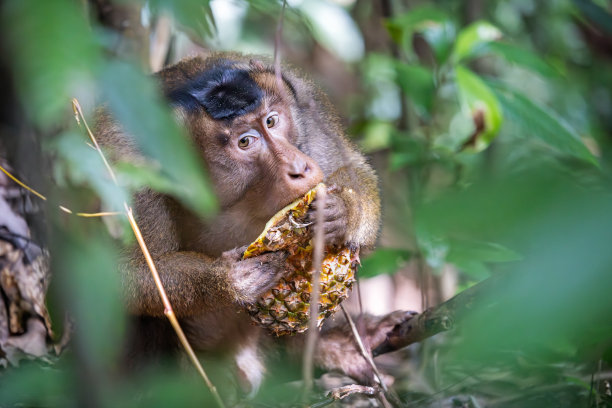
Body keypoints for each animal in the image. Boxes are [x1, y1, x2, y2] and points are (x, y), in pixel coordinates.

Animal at [94, 52, 402, 396]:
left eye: (272, 121)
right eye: (245, 142)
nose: (300, 167)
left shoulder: (308, 108)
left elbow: (355, 169)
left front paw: (344, 211)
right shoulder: (126, 163)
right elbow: (124, 274)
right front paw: (227, 281)